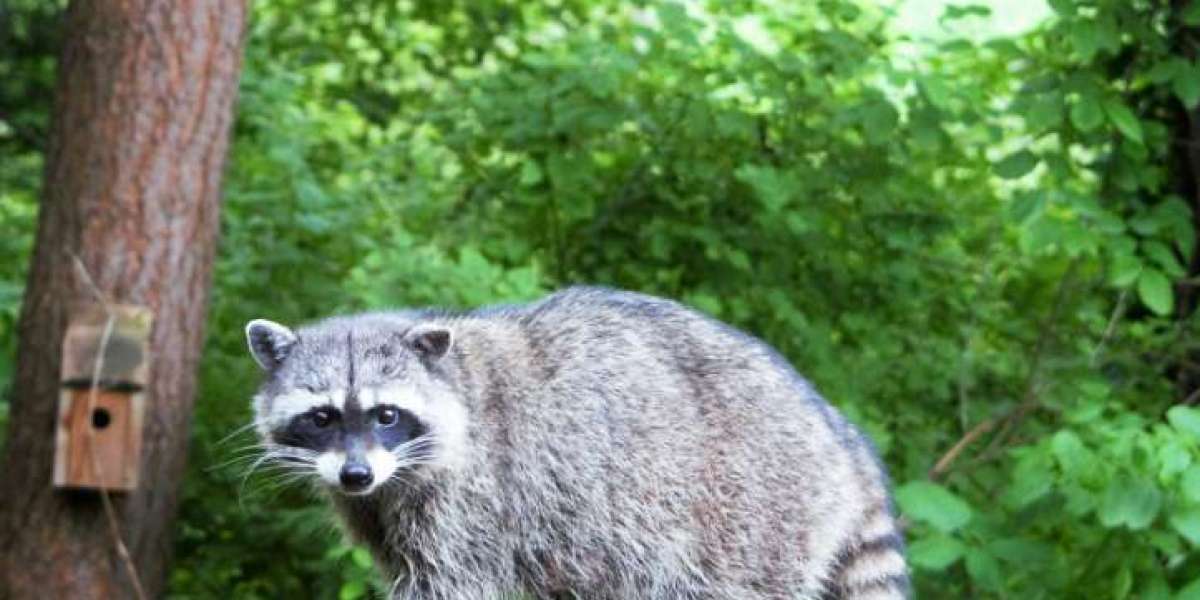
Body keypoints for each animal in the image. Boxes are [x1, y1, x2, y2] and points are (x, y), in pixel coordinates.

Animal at [244, 287, 908, 599]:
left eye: (386, 415)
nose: (355, 475)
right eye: (322, 417)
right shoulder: (379, 509)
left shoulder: (472, 500)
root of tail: (838, 431)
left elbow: (452, 581)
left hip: (751, 515)